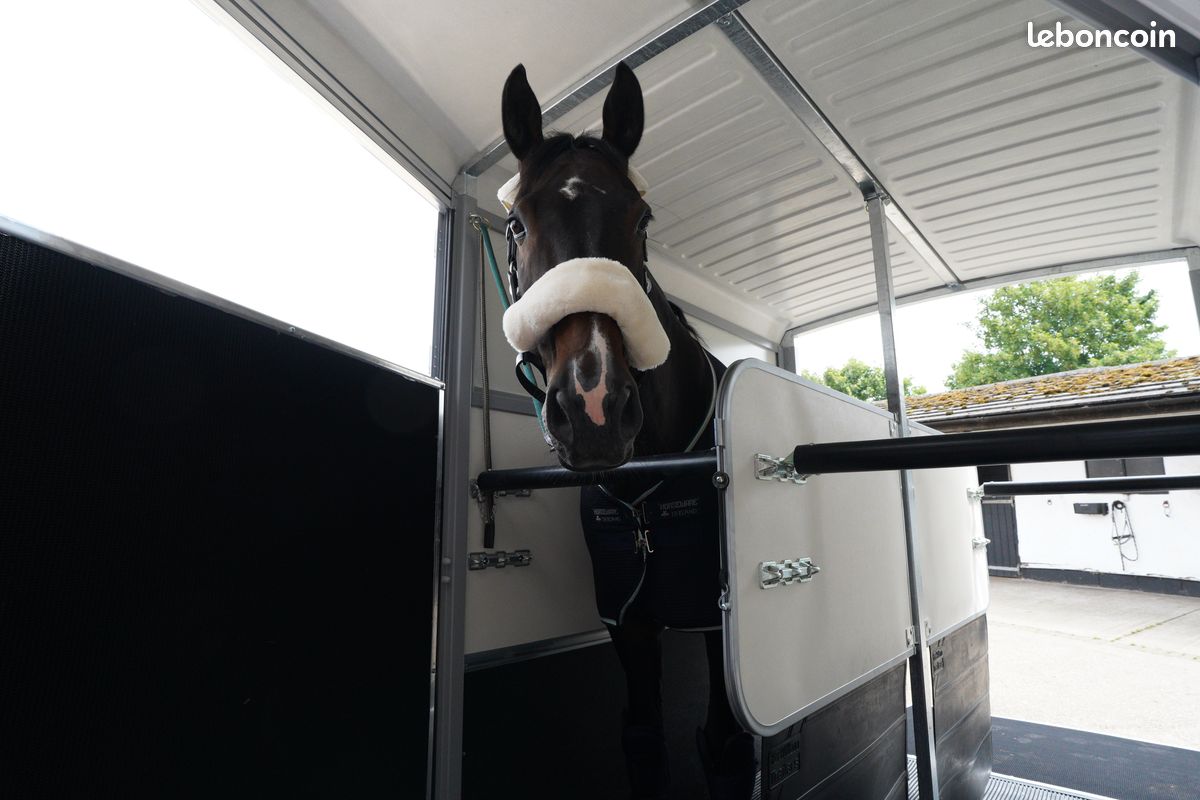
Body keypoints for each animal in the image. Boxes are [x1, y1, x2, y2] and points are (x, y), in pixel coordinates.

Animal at [496, 61, 756, 799]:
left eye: (642, 219)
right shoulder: (626, 619)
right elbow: (642, 737)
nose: (595, 410)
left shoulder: (714, 616)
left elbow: (724, 744)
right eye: (516, 223)